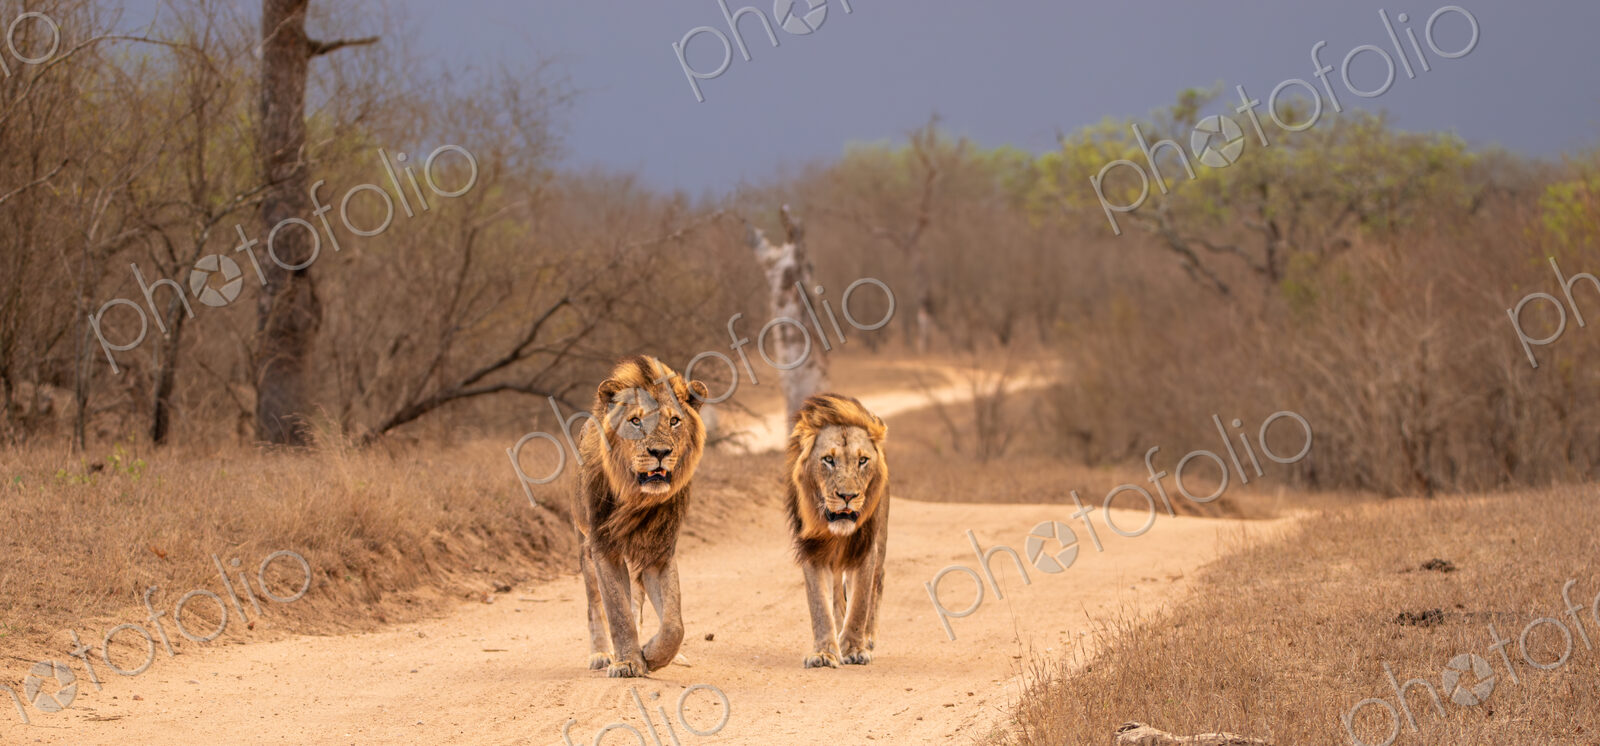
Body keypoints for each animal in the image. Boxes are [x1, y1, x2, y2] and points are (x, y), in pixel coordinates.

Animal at [572, 355, 709, 678]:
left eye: (674, 421)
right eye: (635, 421)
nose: (660, 451)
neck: (637, 500)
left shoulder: (659, 552)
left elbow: (673, 624)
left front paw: (651, 655)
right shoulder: (604, 548)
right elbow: (617, 611)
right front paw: (626, 662)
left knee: (637, 601)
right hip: (584, 546)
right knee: (594, 605)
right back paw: (601, 654)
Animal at [783, 393, 890, 668]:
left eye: (862, 460)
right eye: (828, 460)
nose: (847, 496)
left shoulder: (866, 549)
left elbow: (861, 601)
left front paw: (854, 649)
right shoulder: (812, 550)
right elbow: (820, 606)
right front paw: (824, 652)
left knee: (877, 584)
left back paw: (867, 638)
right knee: (836, 596)